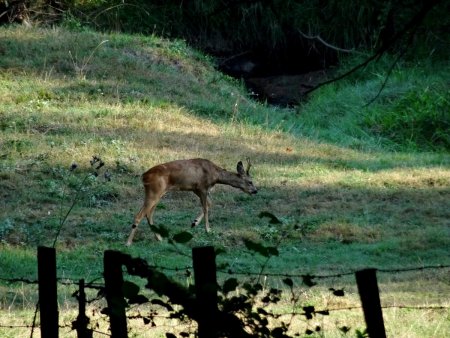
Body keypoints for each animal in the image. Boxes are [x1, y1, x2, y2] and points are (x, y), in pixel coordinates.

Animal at [125, 158, 256, 246]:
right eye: (250, 181)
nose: (255, 191)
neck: (215, 175)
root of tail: (143, 176)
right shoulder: (202, 187)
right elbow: (206, 208)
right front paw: (208, 229)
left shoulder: (196, 189)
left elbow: (209, 204)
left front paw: (194, 223)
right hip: (155, 192)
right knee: (140, 215)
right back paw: (128, 242)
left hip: (157, 193)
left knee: (148, 214)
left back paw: (159, 238)